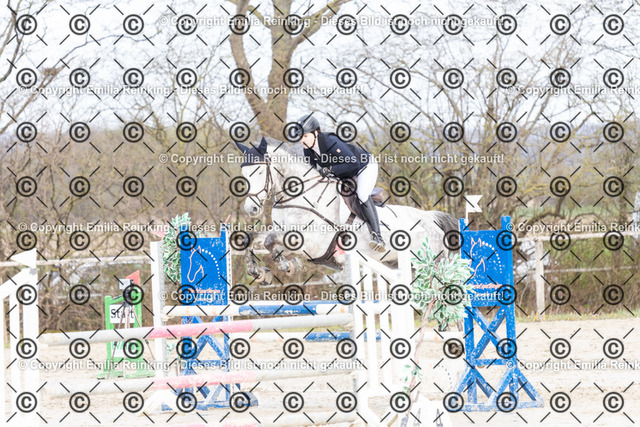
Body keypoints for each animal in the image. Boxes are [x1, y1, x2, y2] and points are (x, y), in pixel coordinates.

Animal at [235, 136, 459, 283]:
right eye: (244, 173)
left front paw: (285, 266)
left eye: (258, 171)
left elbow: (270, 240)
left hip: (433, 266)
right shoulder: (286, 233)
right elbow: (253, 238)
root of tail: (430, 218)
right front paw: (258, 271)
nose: (251, 208)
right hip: (400, 266)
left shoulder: (311, 242)